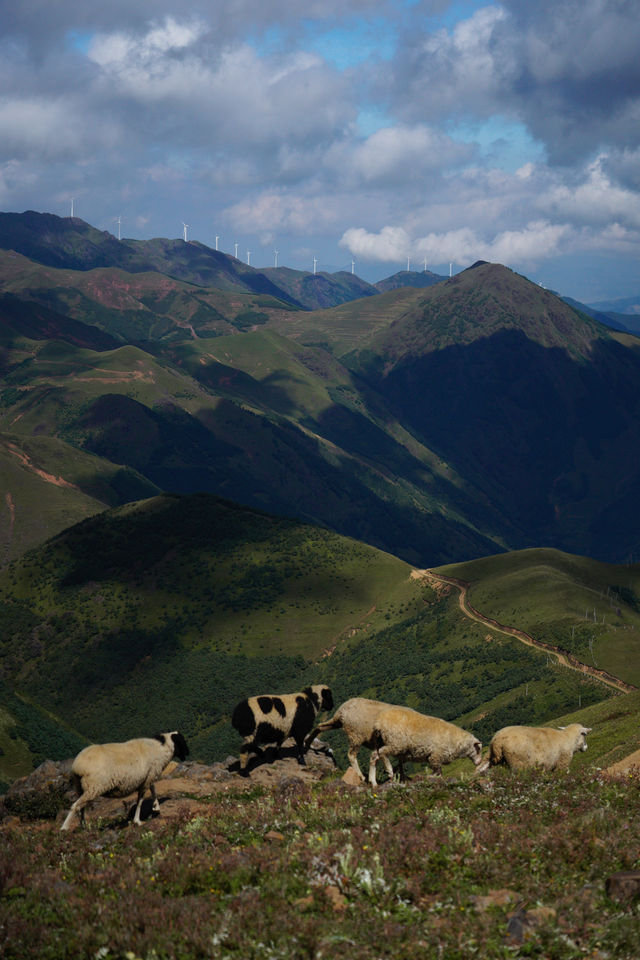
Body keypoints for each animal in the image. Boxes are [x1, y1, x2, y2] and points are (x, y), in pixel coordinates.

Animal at [59, 732, 190, 828]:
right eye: (182, 741)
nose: (188, 752)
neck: (161, 749)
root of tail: (77, 766)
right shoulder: (147, 779)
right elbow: (140, 801)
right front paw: (137, 821)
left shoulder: (148, 777)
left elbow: (153, 789)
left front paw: (156, 806)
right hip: (94, 788)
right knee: (75, 806)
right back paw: (64, 828)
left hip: (80, 788)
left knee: (81, 807)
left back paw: (84, 827)